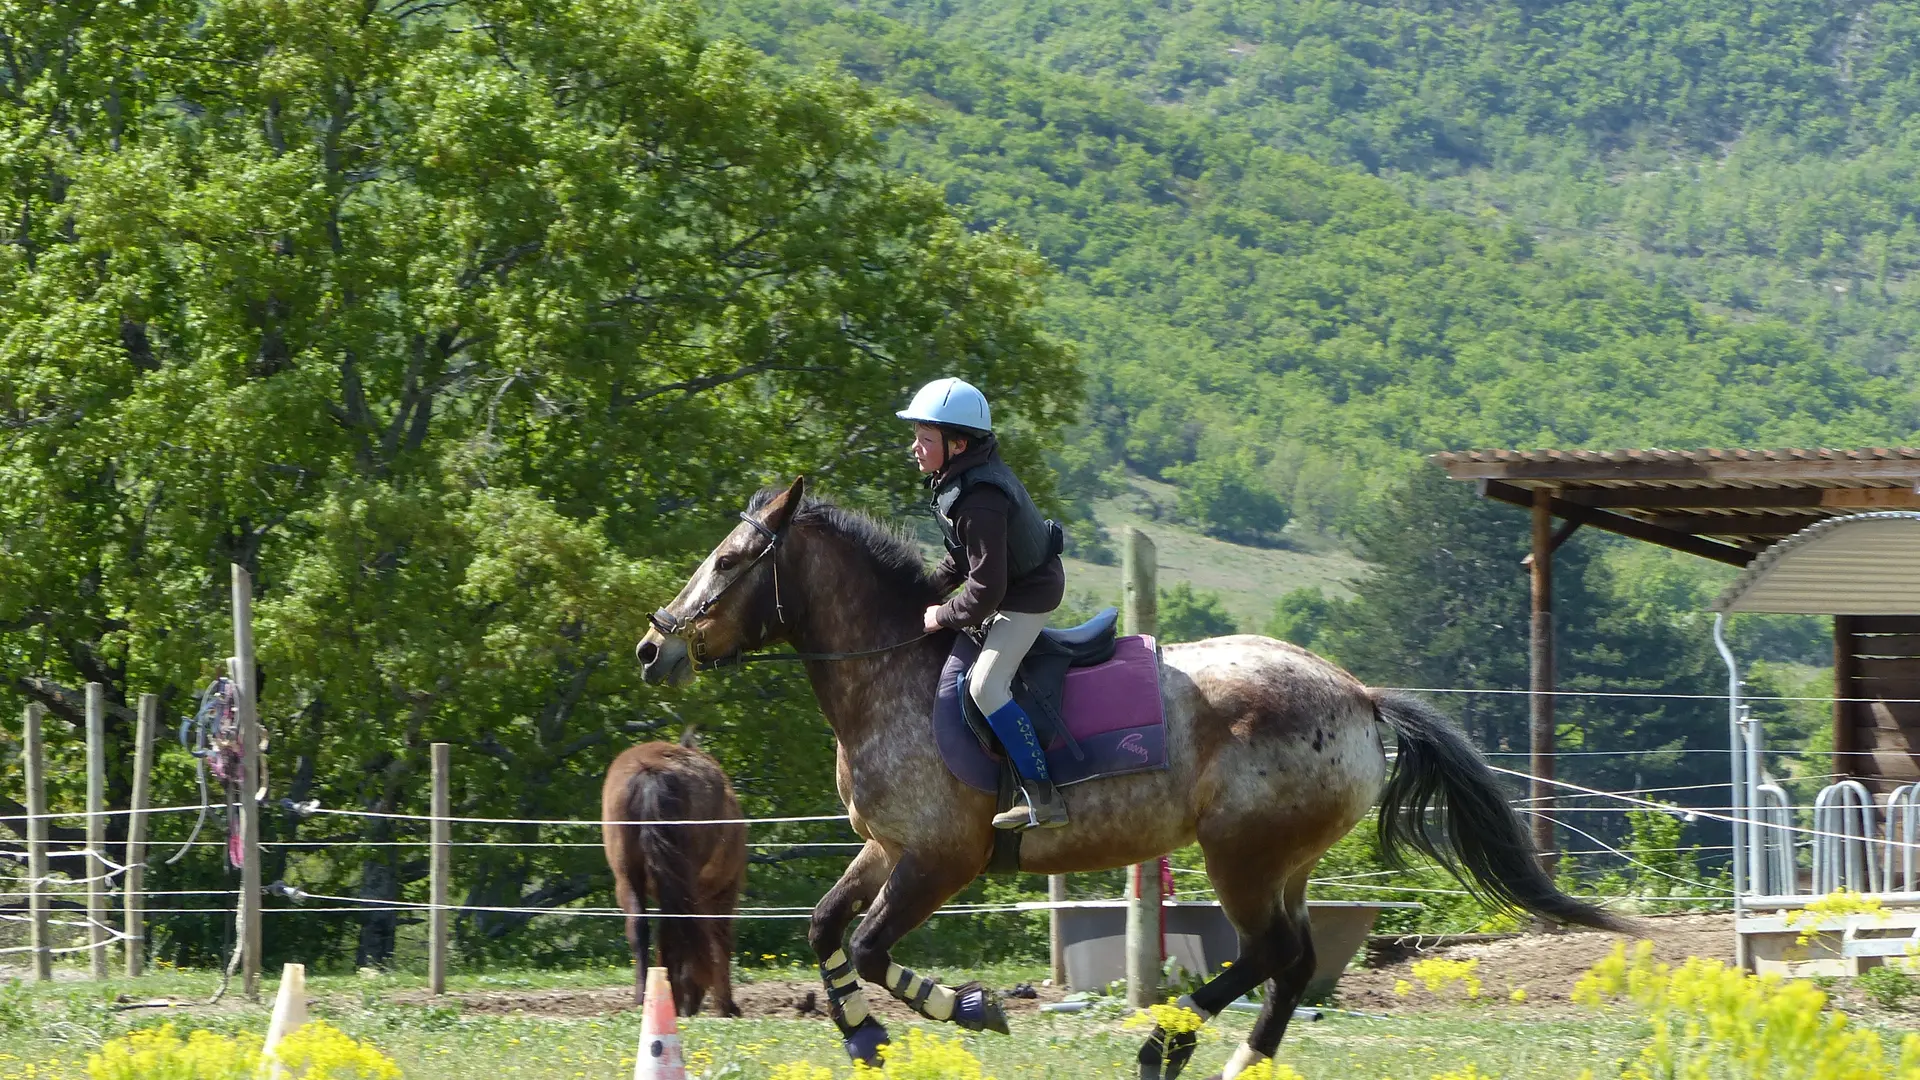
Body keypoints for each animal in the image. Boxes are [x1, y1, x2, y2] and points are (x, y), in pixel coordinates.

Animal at [602, 726, 744, 1014]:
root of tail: (651, 770)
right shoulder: (722, 891)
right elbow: (720, 941)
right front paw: (725, 1004)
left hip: (628, 877)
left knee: (640, 927)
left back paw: (645, 997)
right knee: (677, 929)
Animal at [637, 478, 1628, 1076]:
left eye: (728, 562)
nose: (654, 649)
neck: (890, 673)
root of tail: (1357, 694)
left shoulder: (940, 860)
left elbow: (875, 948)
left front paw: (972, 1007)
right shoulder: (889, 849)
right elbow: (825, 929)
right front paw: (869, 1038)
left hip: (1240, 856)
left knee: (1271, 954)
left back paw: (1164, 1044)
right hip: (1284, 861)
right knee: (1295, 961)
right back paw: (1236, 1060)